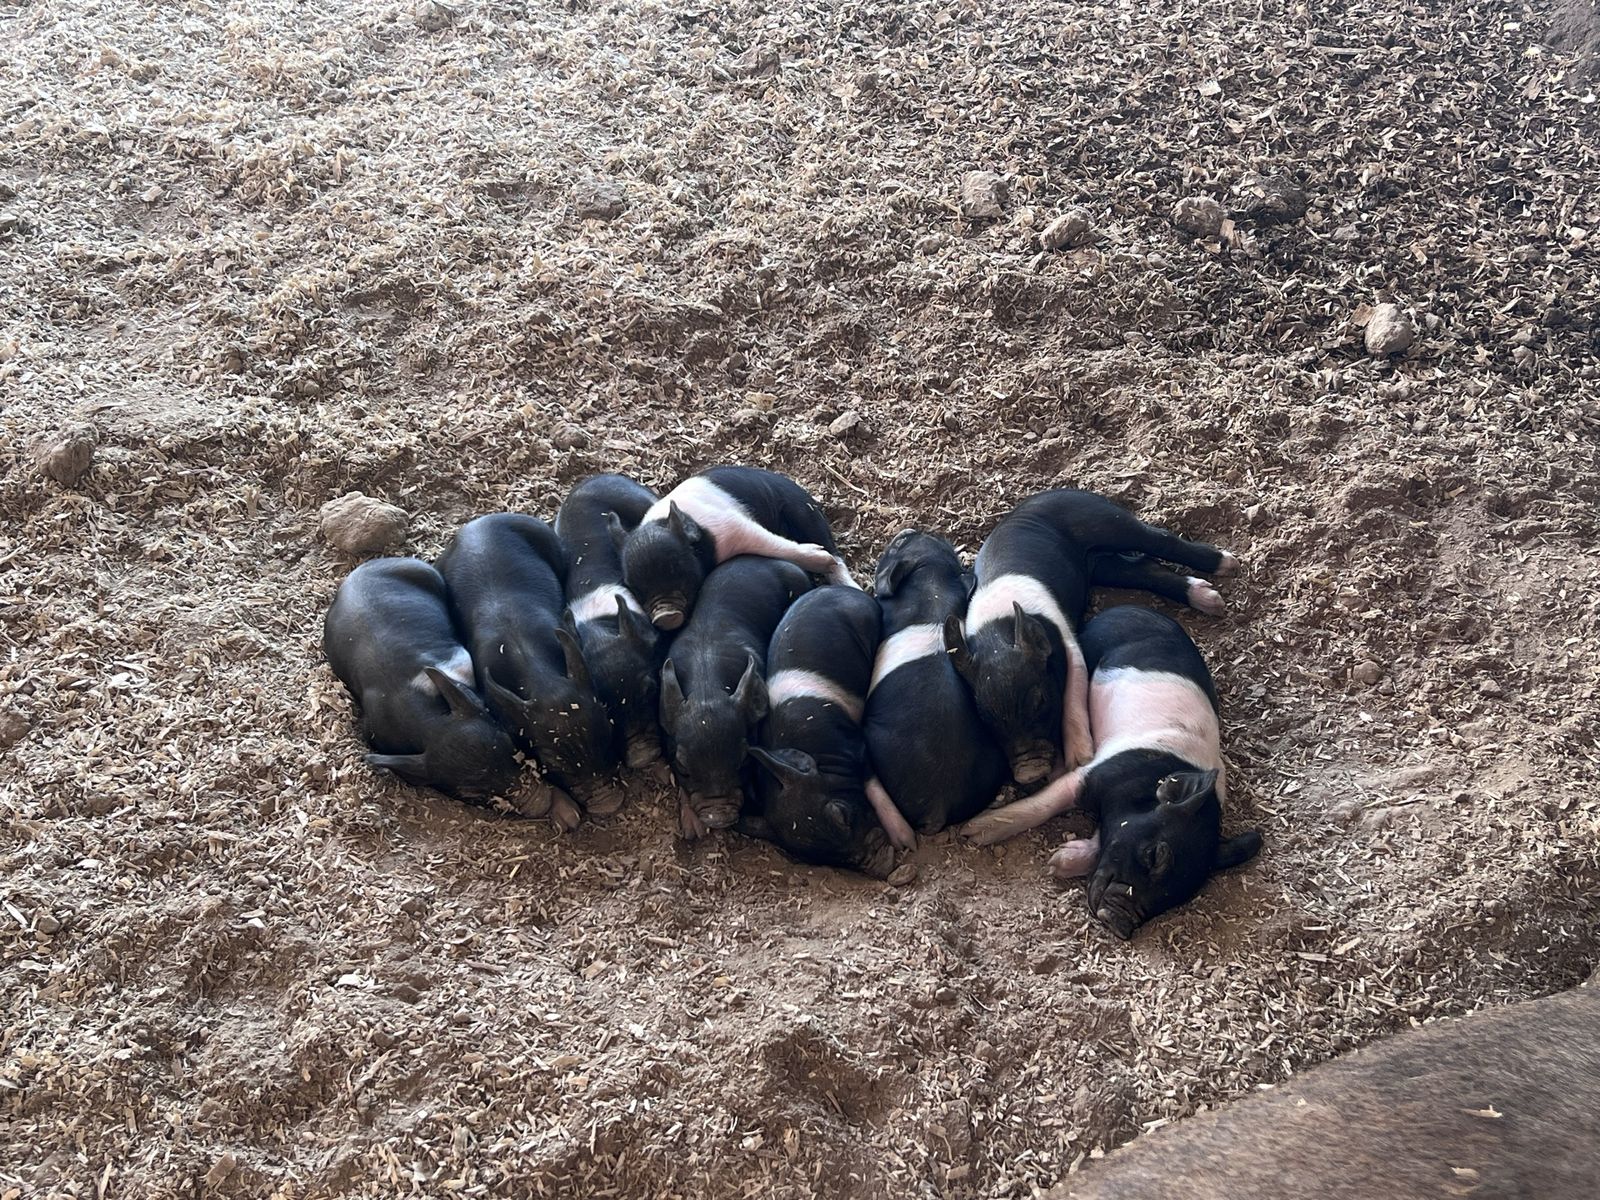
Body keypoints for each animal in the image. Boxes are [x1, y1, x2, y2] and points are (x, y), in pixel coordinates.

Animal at [621, 465, 854, 631]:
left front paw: (822, 559)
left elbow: (770, 543)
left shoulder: (734, 525)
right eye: (636, 589)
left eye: (678, 570)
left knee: (834, 552)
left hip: (802, 510)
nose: (664, 616)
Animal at [744, 586, 901, 878]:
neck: (817, 752)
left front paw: (906, 839)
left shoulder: (857, 746)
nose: (880, 865)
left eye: (842, 816)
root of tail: (836, 588)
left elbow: (874, 785)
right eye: (830, 859)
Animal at [942, 489, 1238, 785]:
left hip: (1103, 520)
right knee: (1142, 567)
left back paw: (1226, 568)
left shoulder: (1069, 642)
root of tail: (1054, 492)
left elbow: (1074, 692)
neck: (997, 626)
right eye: (985, 717)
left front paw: (1081, 758)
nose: (1029, 773)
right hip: (1103, 566)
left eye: (1040, 701)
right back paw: (1209, 598)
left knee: (1160, 540)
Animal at [960, 605, 1261, 939]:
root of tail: (1128, 607)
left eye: (1184, 893)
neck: (1153, 779)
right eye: (1154, 855)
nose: (1120, 923)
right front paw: (974, 833)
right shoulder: (1096, 772)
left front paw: (1059, 861)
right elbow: (1046, 803)